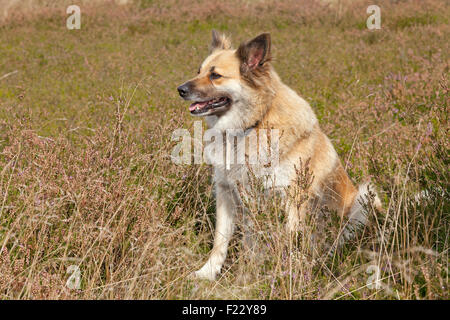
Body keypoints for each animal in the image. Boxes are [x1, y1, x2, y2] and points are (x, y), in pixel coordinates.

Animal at [176, 30, 380, 280]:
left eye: (215, 75)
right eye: (199, 71)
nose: (180, 90)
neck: (253, 124)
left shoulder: (291, 199)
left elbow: (289, 241)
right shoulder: (227, 193)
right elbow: (220, 242)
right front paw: (208, 272)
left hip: (365, 198)